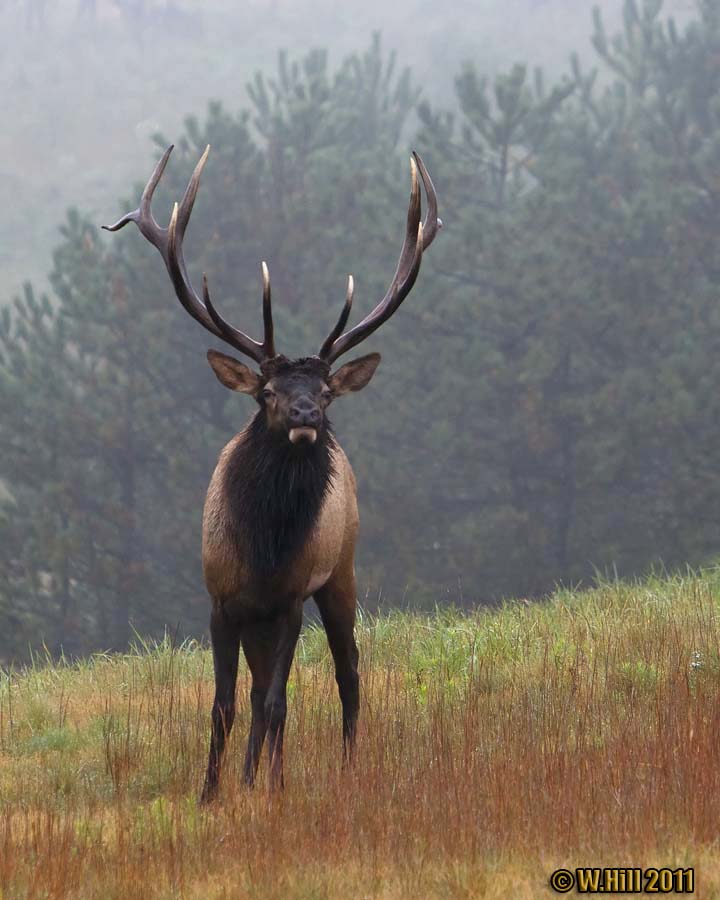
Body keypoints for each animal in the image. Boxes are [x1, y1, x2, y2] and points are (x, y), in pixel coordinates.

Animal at [104, 144, 441, 801]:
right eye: (267, 392)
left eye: (326, 392)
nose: (307, 413)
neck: (262, 549)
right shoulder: (221, 600)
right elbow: (225, 705)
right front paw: (211, 793)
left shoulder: (288, 599)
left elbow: (275, 703)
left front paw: (261, 788)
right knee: (267, 688)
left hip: (341, 570)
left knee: (346, 672)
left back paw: (340, 769)